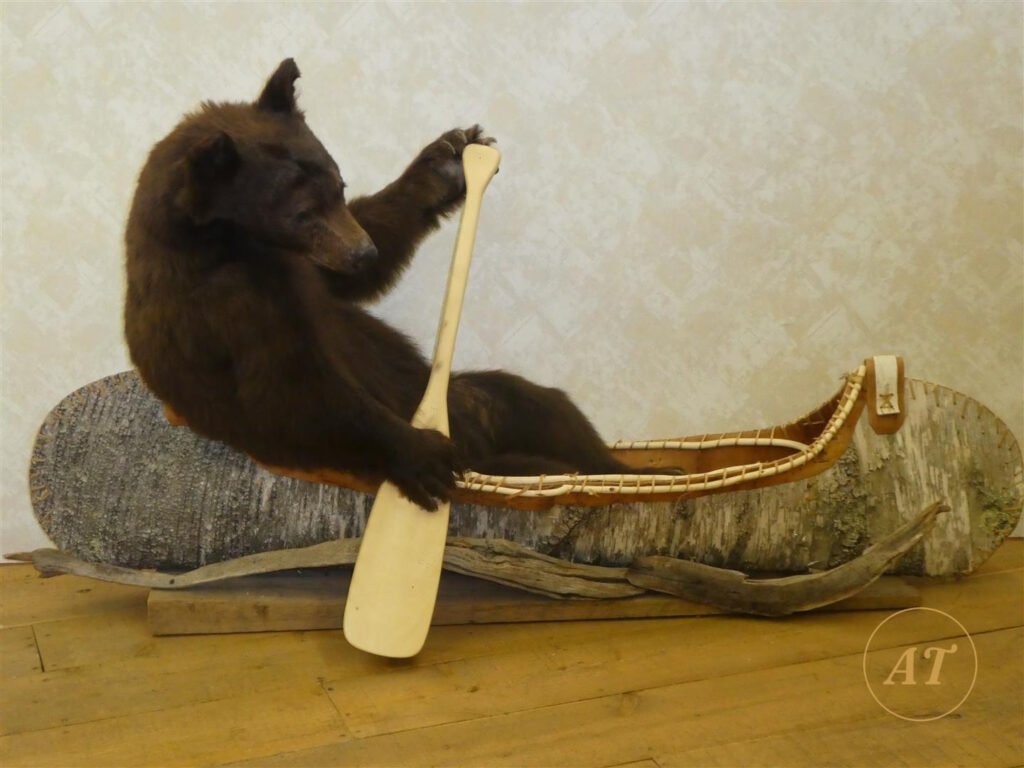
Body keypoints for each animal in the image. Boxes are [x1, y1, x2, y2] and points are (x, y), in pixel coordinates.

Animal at [124, 58, 657, 511]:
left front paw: (448, 160)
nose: (362, 253)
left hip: (470, 397)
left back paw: (634, 468)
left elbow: (369, 238)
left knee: (543, 405)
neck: (224, 243)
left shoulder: (310, 271)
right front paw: (421, 454)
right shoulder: (228, 311)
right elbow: (293, 391)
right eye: (301, 213)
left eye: (338, 185)